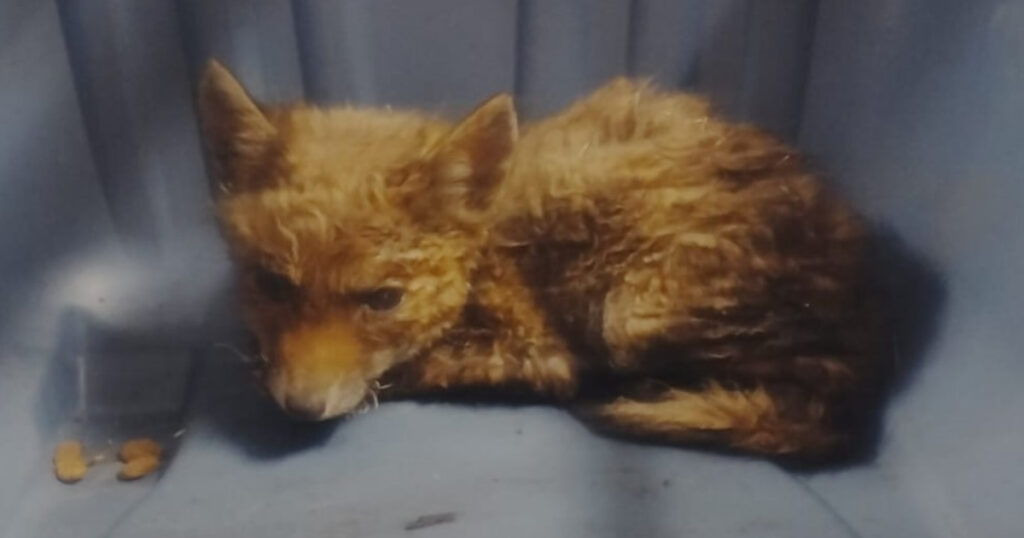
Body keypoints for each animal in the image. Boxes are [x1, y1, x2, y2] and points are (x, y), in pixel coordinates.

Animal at [198, 59, 885, 461]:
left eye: (383, 300)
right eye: (270, 285)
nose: (299, 408)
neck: (487, 256)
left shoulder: (536, 348)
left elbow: (420, 369)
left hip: (633, 313)